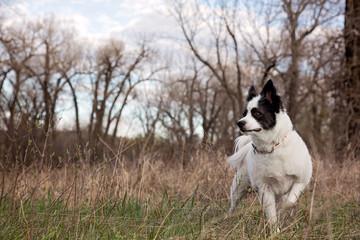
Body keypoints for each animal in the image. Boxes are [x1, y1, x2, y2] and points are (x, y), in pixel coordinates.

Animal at [228, 79, 312, 231]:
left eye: (256, 113)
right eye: (244, 113)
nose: (239, 123)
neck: (273, 147)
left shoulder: (300, 181)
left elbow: (289, 202)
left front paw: (283, 214)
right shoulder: (265, 188)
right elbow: (272, 214)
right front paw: (275, 231)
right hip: (238, 188)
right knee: (233, 205)